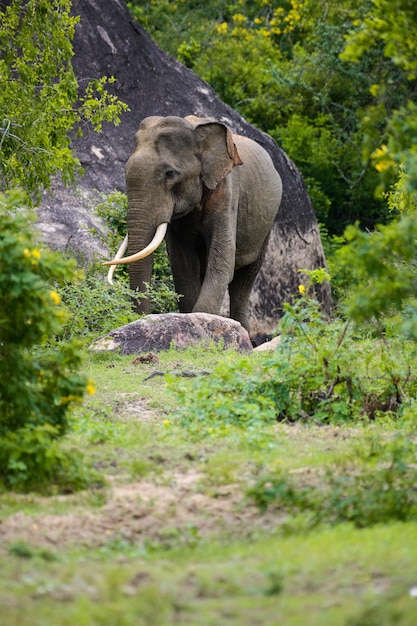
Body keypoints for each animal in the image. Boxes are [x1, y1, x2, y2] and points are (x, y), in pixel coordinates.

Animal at [102, 115, 282, 334]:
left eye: (169, 173)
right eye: (125, 171)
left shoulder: (227, 191)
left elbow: (222, 259)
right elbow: (183, 265)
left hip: (267, 224)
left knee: (245, 279)